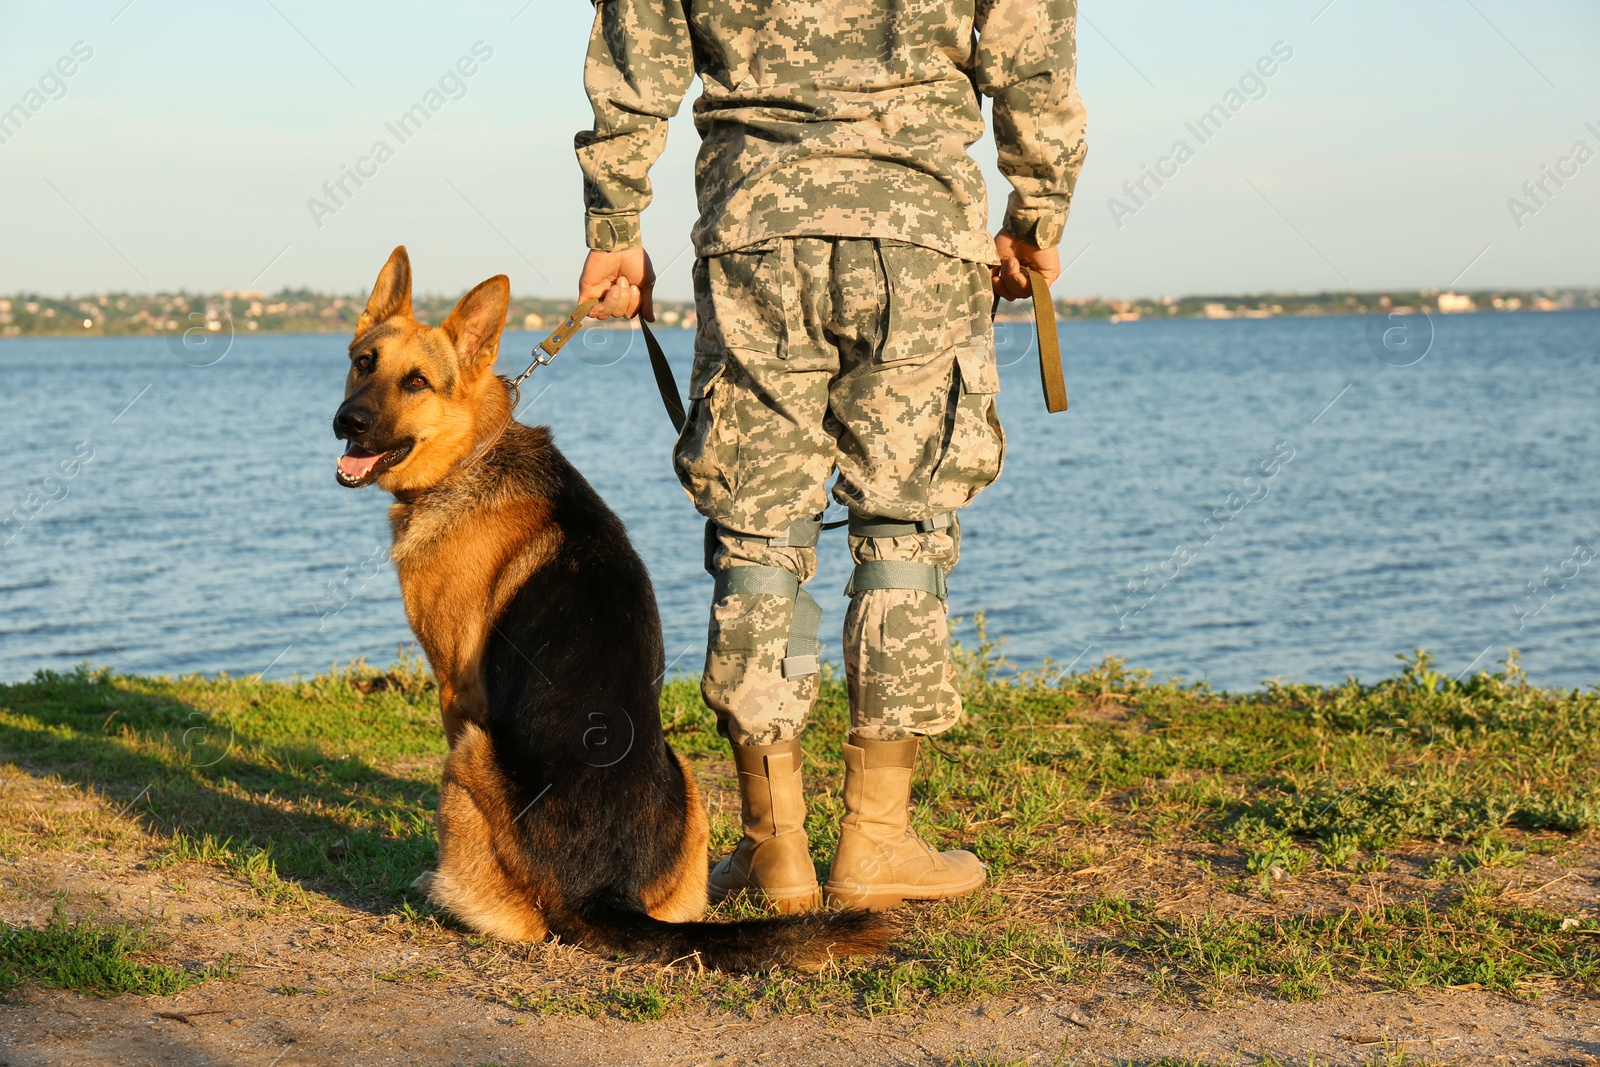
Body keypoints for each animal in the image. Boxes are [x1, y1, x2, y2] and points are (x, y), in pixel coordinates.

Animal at [332, 247, 896, 966]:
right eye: (363, 363)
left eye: (416, 382)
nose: (346, 423)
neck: (473, 452)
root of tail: (605, 893)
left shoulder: (456, 692)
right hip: (687, 778)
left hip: (466, 760)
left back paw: (436, 888)